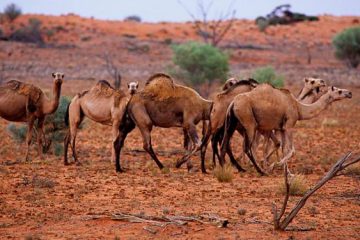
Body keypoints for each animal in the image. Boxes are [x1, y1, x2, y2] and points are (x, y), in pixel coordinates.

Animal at [219, 83, 352, 172]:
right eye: (339, 91)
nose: (350, 93)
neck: (298, 108)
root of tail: (233, 103)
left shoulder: (281, 128)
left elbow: (284, 149)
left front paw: (285, 171)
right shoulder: (289, 126)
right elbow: (291, 150)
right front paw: (274, 166)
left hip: (232, 123)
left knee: (226, 143)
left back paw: (226, 166)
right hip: (249, 122)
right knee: (248, 147)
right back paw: (259, 170)